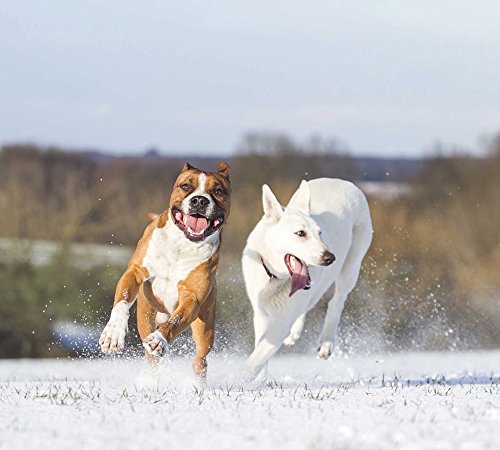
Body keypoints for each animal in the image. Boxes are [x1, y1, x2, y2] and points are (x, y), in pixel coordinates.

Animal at [99, 161, 231, 378]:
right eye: (185, 186)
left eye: (218, 191)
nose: (200, 201)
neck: (182, 244)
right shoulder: (135, 272)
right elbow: (122, 300)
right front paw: (113, 334)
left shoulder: (192, 298)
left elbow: (176, 320)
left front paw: (159, 339)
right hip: (146, 317)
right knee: (151, 359)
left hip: (204, 326)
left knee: (200, 360)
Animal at [242, 178, 372, 380]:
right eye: (300, 233)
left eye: (320, 233)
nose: (330, 258)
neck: (276, 278)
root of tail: (344, 182)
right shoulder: (261, 313)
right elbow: (260, 352)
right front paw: (258, 379)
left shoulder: (281, 321)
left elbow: (256, 358)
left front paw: (239, 381)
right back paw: (295, 334)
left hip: (351, 266)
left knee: (336, 302)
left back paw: (326, 343)